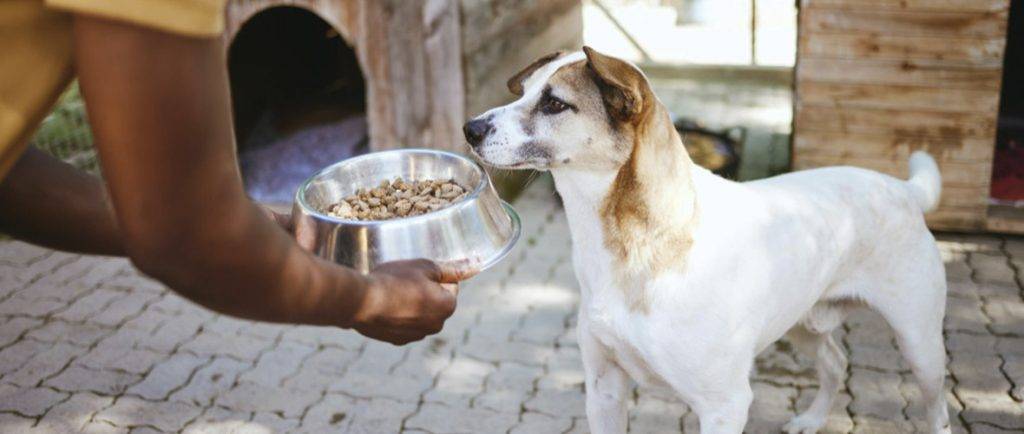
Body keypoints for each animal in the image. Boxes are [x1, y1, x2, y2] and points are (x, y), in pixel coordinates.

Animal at [464, 45, 950, 431]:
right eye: (523, 92)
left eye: (554, 104)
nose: (471, 128)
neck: (638, 245)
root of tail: (902, 188)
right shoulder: (604, 388)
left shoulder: (724, 405)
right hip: (801, 321)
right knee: (835, 362)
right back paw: (812, 419)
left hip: (919, 342)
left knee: (936, 405)